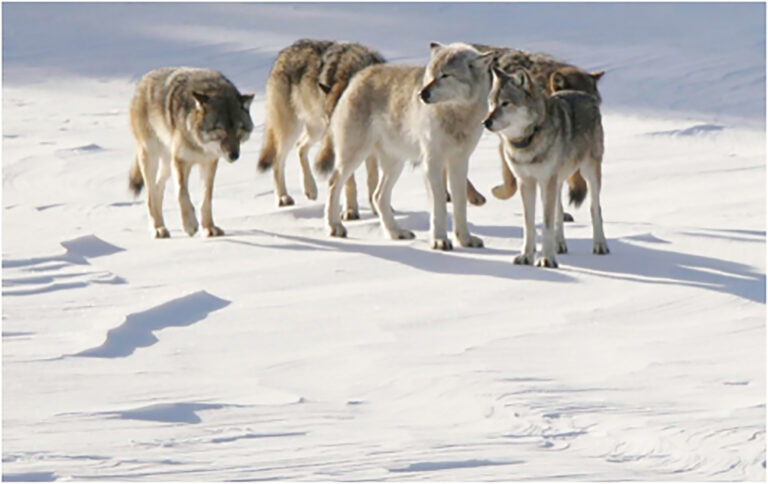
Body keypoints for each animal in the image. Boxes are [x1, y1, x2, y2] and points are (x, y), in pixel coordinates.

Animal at [129, 66, 254, 238]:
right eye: (220, 130)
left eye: (238, 130)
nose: (234, 156)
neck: (200, 144)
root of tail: (143, 79)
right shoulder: (180, 161)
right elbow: (182, 193)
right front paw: (189, 225)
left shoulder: (209, 163)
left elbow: (206, 198)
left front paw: (208, 227)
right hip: (152, 157)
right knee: (150, 195)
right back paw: (158, 228)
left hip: (167, 165)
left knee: (158, 188)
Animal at [258, 40, 388, 219]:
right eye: (332, 119)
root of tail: (284, 52)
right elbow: (350, 182)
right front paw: (350, 211)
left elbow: (372, 178)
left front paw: (377, 209)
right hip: (292, 130)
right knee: (278, 159)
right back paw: (283, 197)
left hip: (316, 130)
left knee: (300, 147)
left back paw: (310, 189)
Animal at [316, 41, 492, 250]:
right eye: (431, 75)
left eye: (445, 75)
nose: (422, 94)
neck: (456, 116)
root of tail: (358, 76)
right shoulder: (432, 163)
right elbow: (439, 205)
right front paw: (440, 240)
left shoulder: (460, 162)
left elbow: (460, 205)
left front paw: (465, 240)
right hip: (354, 156)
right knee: (333, 183)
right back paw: (335, 227)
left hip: (395, 164)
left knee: (378, 196)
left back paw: (396, 233)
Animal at [486, 65, 608, 266]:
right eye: (491, 103)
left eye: (505, 103)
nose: (485, 122)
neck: (528, 140)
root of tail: (585, 94)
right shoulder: (526, 182)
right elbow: (529, 224)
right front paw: (527, 256)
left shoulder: (546, 180)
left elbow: (547, 223)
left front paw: (547, 259)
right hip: (557, 182)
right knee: (560, 210)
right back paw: (560, 246)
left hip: (589, 172)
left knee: (595, 208)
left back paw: (600, 246)